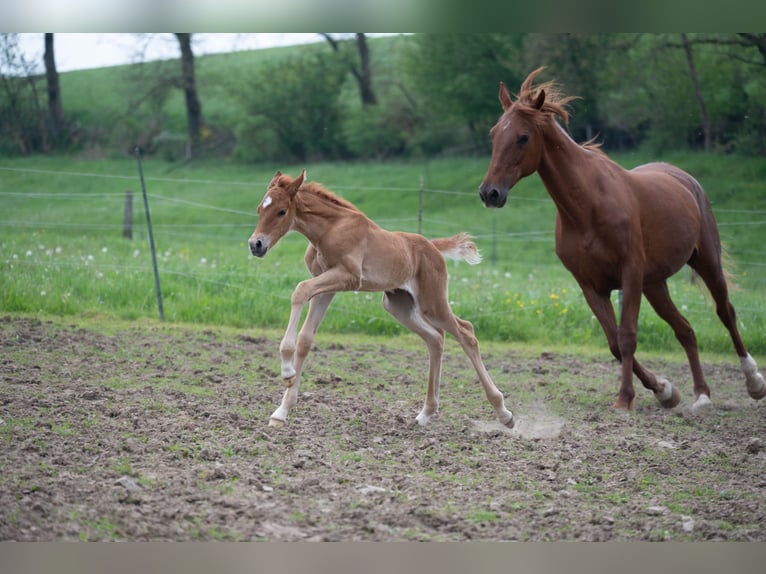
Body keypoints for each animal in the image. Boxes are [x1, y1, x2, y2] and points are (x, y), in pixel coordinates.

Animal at [252, 169, 516, 430]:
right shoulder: (327, 285)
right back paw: (426, 413)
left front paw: (287, 371)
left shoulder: (348, 277)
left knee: (466, 332)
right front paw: (281, 411)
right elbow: (306, 338)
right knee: (435, 339)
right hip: (398, 305)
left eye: (281, 211)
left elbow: (299, 290)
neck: (330, 228)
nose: (256, 244)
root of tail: (432, 246)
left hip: (432, 303)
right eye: (259, 209)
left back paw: (504, 413)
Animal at [480, 67, 766, 412]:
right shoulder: (591, 286)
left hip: (706, 262)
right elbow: (615, 343)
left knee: (726, 312)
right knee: (685, 330)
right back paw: (701, 395)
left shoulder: (629, 275)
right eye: (494, 134)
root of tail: (685, 179)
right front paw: (663, 389)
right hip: (655, 284)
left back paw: (753, 382)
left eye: (522, 137)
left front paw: (625, 398)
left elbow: (628, 336)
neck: (587, 206)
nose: (490, 193)